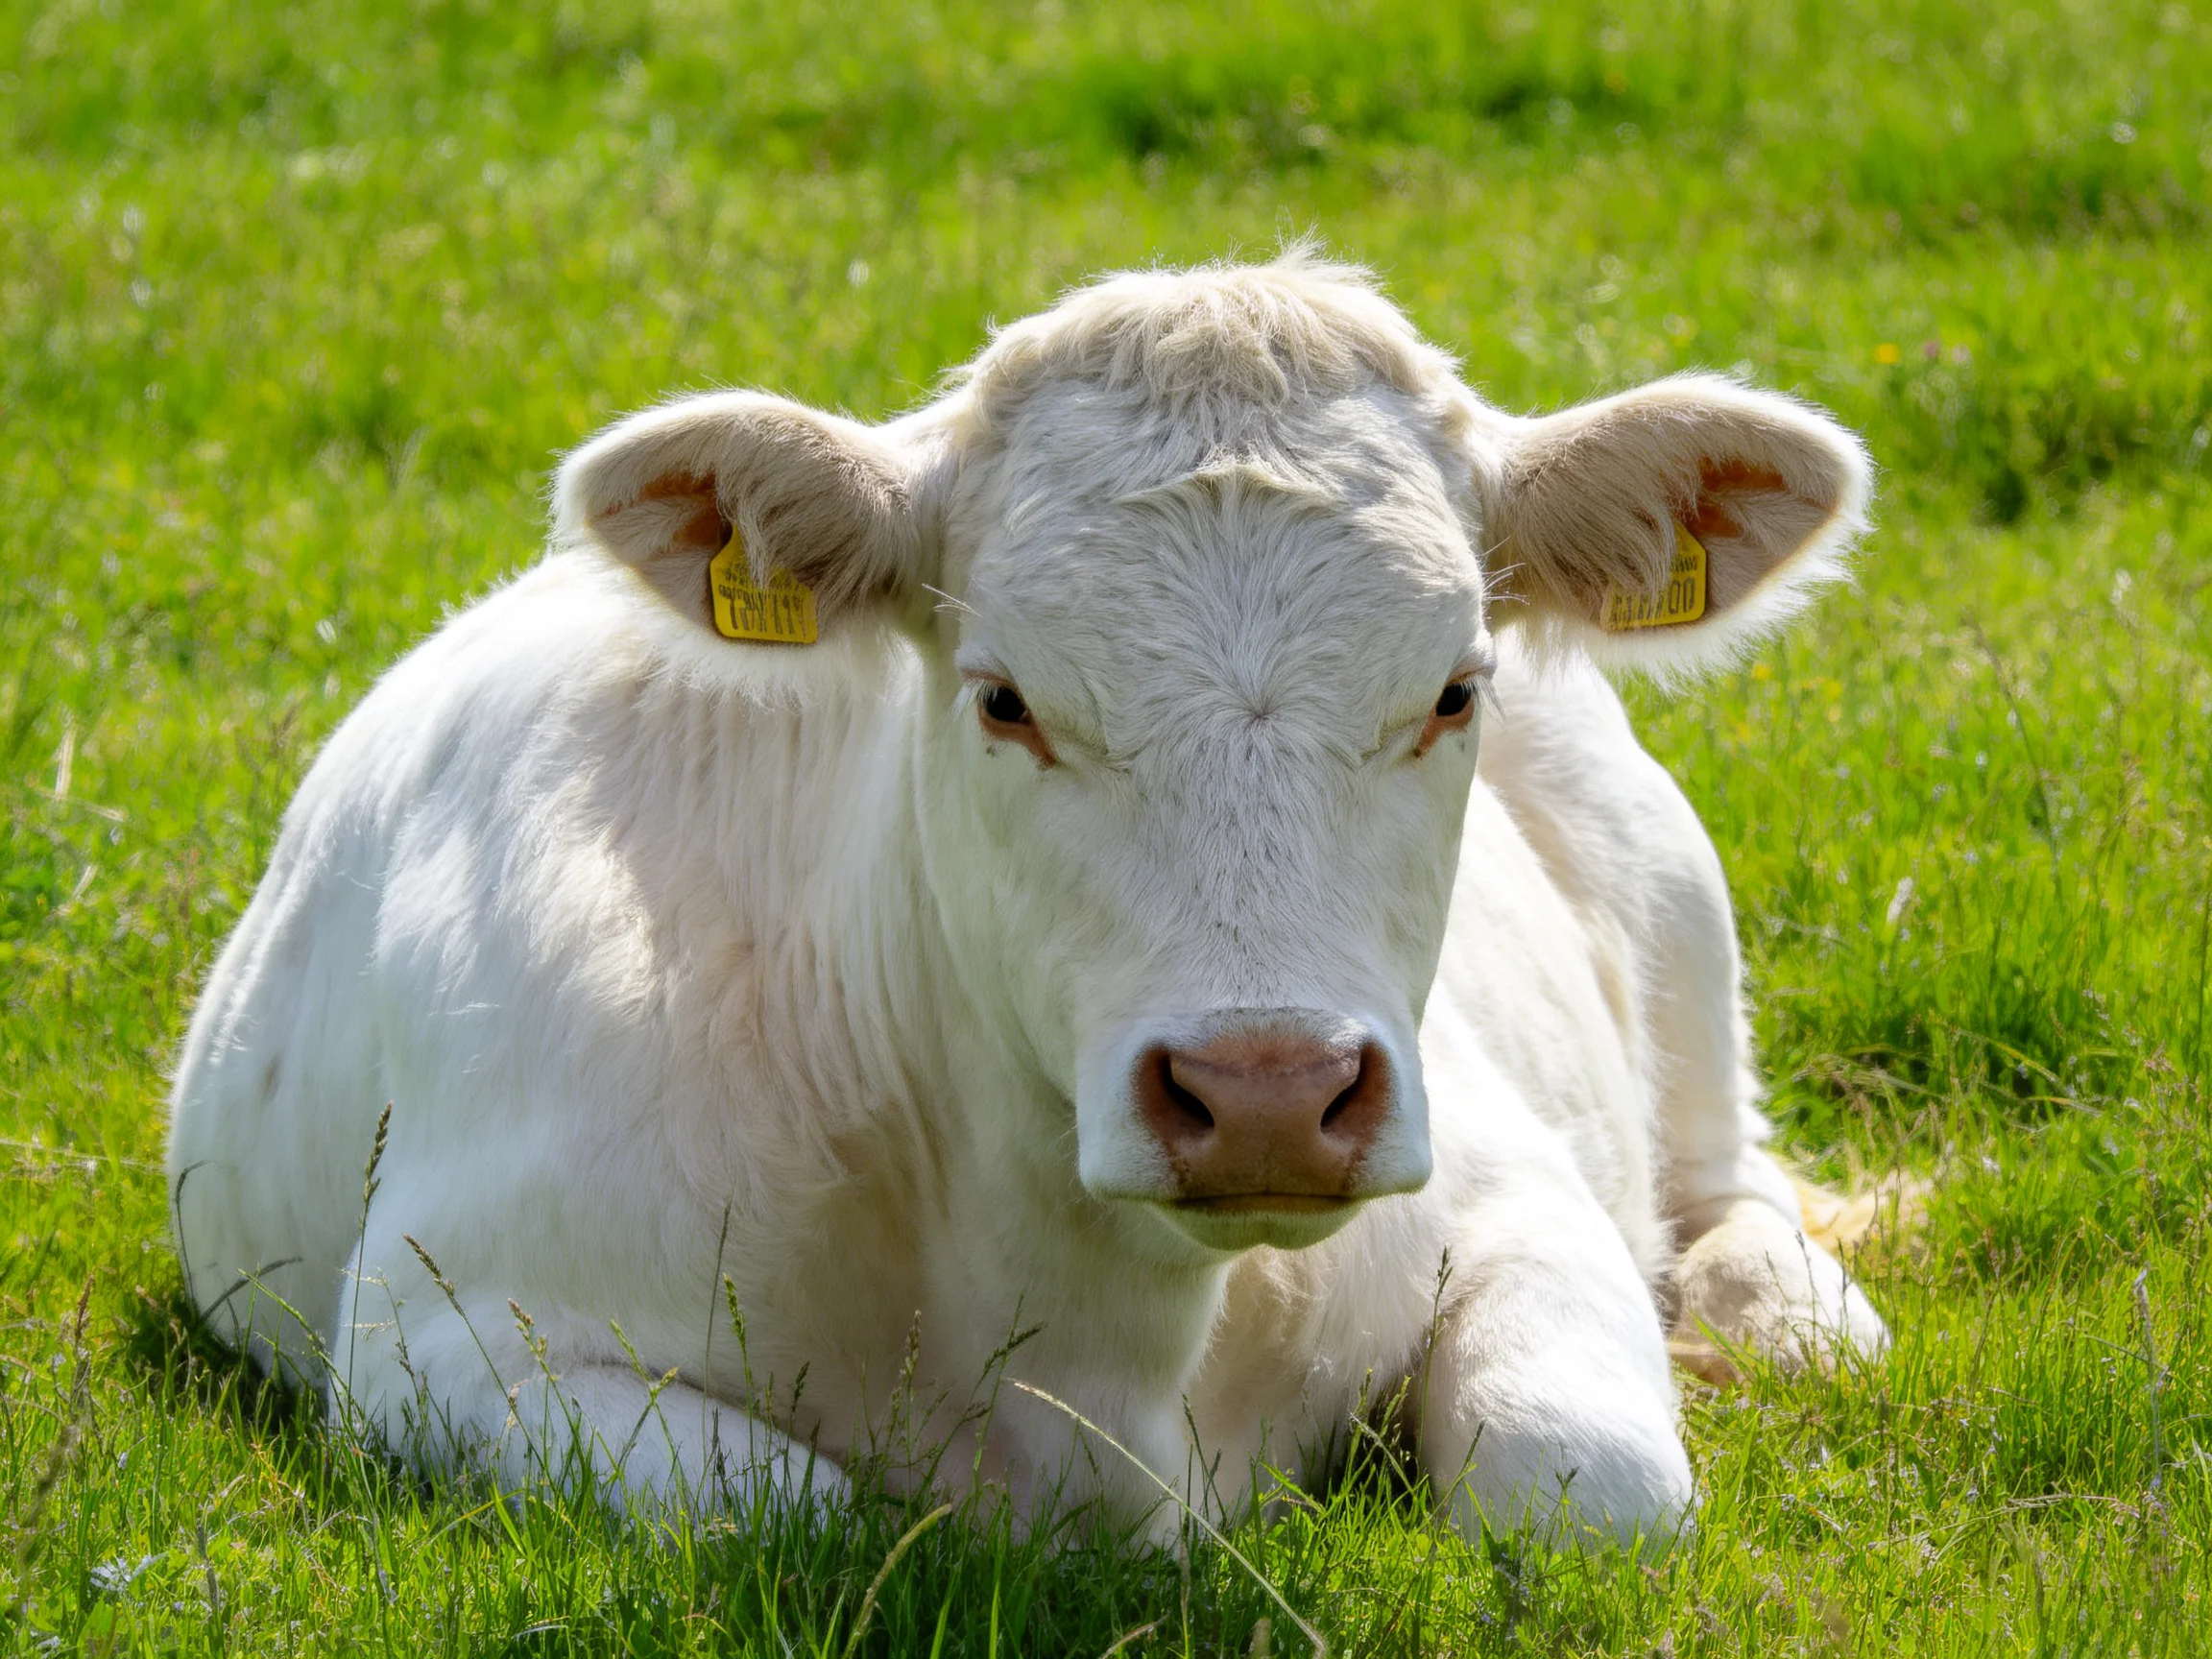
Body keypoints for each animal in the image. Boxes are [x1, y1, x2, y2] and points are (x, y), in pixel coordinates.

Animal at [167, 254, 1888, 1547]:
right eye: (1002, 699)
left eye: (1453, 687)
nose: (1265, 1094)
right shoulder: (439, 1334)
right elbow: (798, 1507)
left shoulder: (1513, 1185)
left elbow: (1587, 1490)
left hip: (1678, 915)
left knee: (1727, 1174)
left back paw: (1796, 1315)